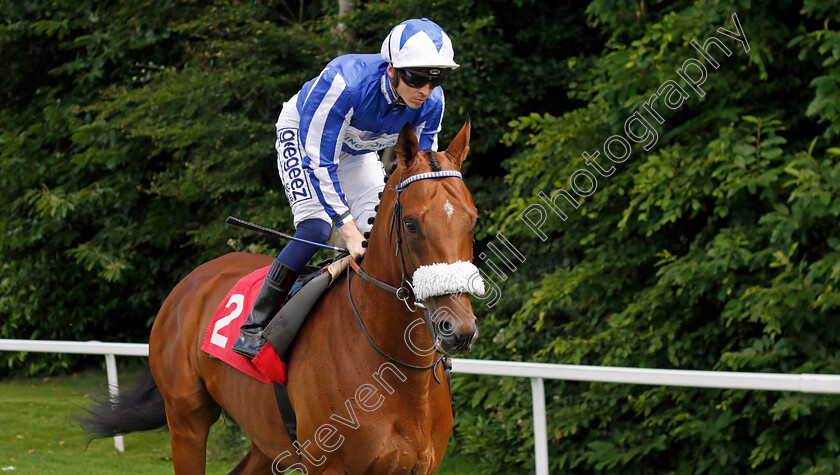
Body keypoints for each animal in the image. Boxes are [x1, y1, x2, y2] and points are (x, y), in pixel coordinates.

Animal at [83, 121, 486, 474]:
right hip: (186, 421)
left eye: (472, 220)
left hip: (266, 439)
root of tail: (188, 283)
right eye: (411, 224)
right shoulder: (329, 467)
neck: (395, 373)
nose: (458, 329)